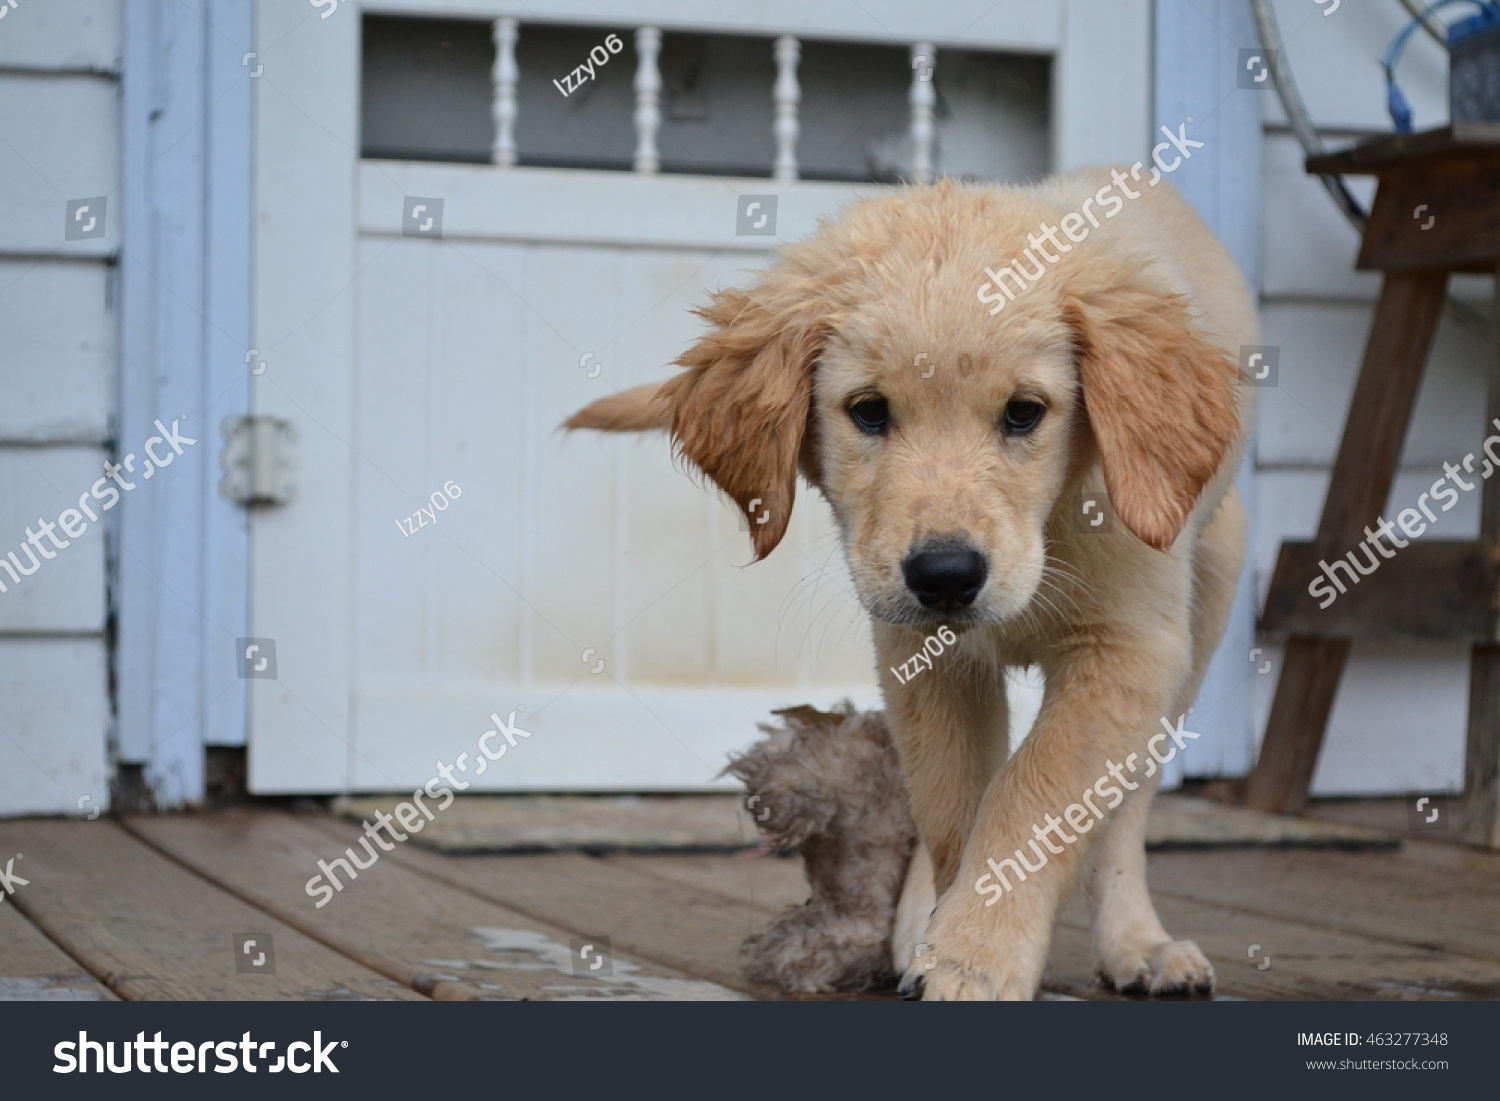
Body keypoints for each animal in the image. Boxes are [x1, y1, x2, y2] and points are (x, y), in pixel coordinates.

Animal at [567, 170, 1260, 1002]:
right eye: (869, 411)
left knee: (1128, 805)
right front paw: (947, 935)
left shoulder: (1129, 645)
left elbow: (1035, 794)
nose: (946, 575)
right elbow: (954, 802)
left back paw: (1139, 942)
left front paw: (976, 955)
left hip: (1209, 594)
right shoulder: (921, 649)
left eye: (1025, 412)